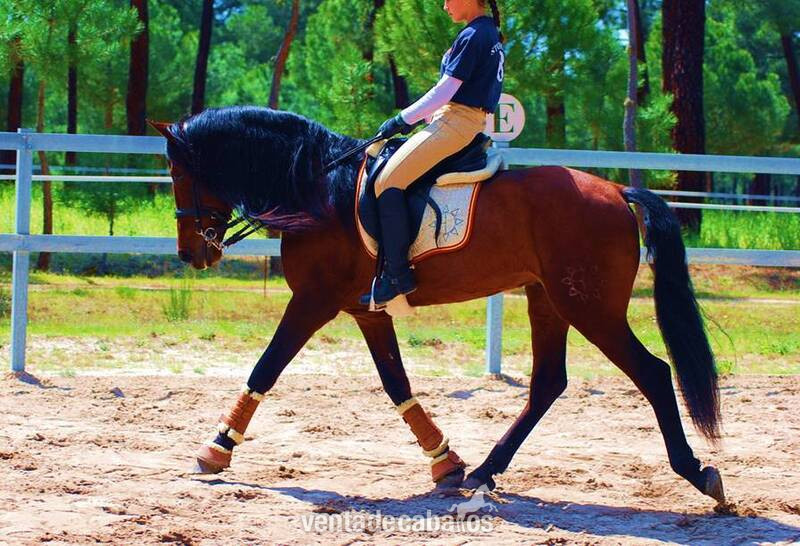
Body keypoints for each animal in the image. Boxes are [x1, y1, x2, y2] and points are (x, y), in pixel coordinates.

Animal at [149, 105, 725, 505]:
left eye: (180, 175)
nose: (191, 253)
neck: (319, 189)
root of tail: (618, 190)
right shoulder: (366, 310)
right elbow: (396, 384)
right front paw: (445, 463)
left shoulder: (312, 301)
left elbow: (265, 369)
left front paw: (216, 448)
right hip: (548, 301)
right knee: (548, 383)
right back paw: (486, 471)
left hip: (590, 308)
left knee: (652, 373)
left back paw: (698, 473)